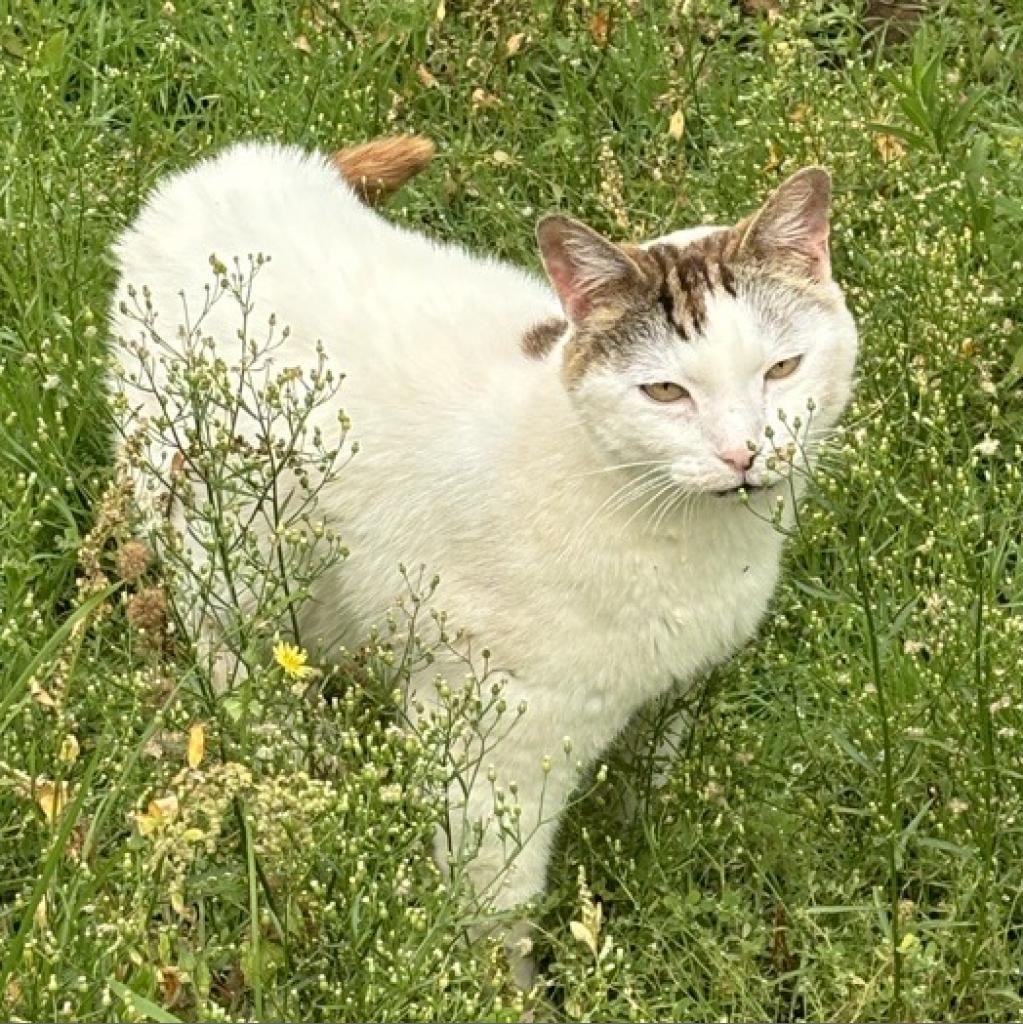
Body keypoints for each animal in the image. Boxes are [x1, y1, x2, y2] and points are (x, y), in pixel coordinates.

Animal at [110, 140, 856, 987]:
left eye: (782, 369)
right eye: (665, 391)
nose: (743, 453)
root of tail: (222, 168)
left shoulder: (670, 695)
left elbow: (644, 792)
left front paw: (645, 856)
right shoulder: (492, 750)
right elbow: (497, 912)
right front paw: (509, 991)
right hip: (233, 573)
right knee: (244, 676)